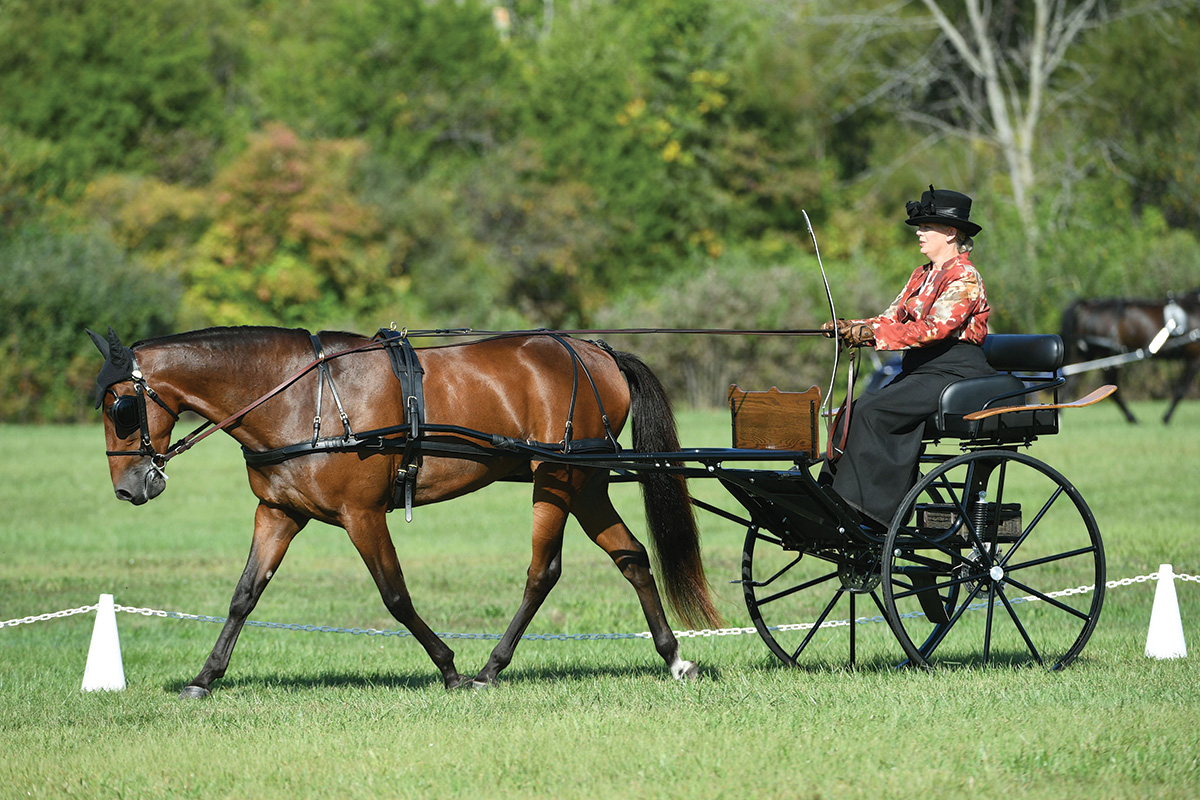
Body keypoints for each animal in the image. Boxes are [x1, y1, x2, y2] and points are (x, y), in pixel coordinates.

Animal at [88, 323, 720, 695]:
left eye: (120, 407)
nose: (129, 488)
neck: (299, 395)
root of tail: (595, 350)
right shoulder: (277, 512)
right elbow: (245, 595)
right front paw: (205, 677)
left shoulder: (362, 514)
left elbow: (395, 596)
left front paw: (449, 667)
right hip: (585, 483)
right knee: (631, 556)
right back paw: (673, 658)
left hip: (558, 478)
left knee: (544, 572)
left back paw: (489, 668)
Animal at [1060, 289, 1200, 424]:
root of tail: (1089, 304)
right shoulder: (1194, 358)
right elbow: (1181, 389)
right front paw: (1166, 418)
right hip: (1111, 357)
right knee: (1111, 389)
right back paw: (1132, 418)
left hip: (1088, 354)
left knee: (1071, 383)